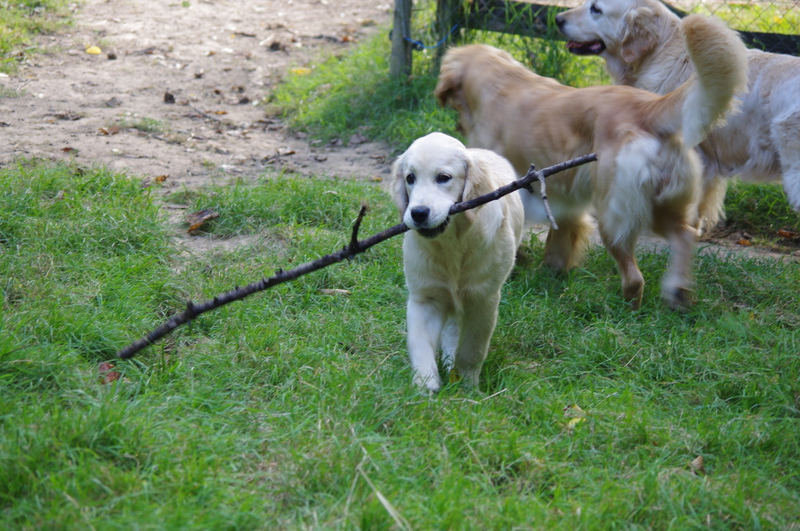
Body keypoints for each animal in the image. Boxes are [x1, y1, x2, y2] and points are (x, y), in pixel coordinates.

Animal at [392, 132, 525, 392]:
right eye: (410, 178)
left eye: (444, 178)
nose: (418, 213)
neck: (452, 243)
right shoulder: (425, 296)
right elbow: (419, 343)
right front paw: (425, 385)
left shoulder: (483, 299)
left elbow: (472, 348)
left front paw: (467, 386)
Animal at [435, 15, 748, 310]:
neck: (503, 79)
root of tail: (649, 108)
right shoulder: (563, 201)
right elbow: (560, 240)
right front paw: (550, 272)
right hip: (663, 205)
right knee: (685, 236)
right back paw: (677, 294)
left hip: (613, 214)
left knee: (635, 277)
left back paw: (624, 307)